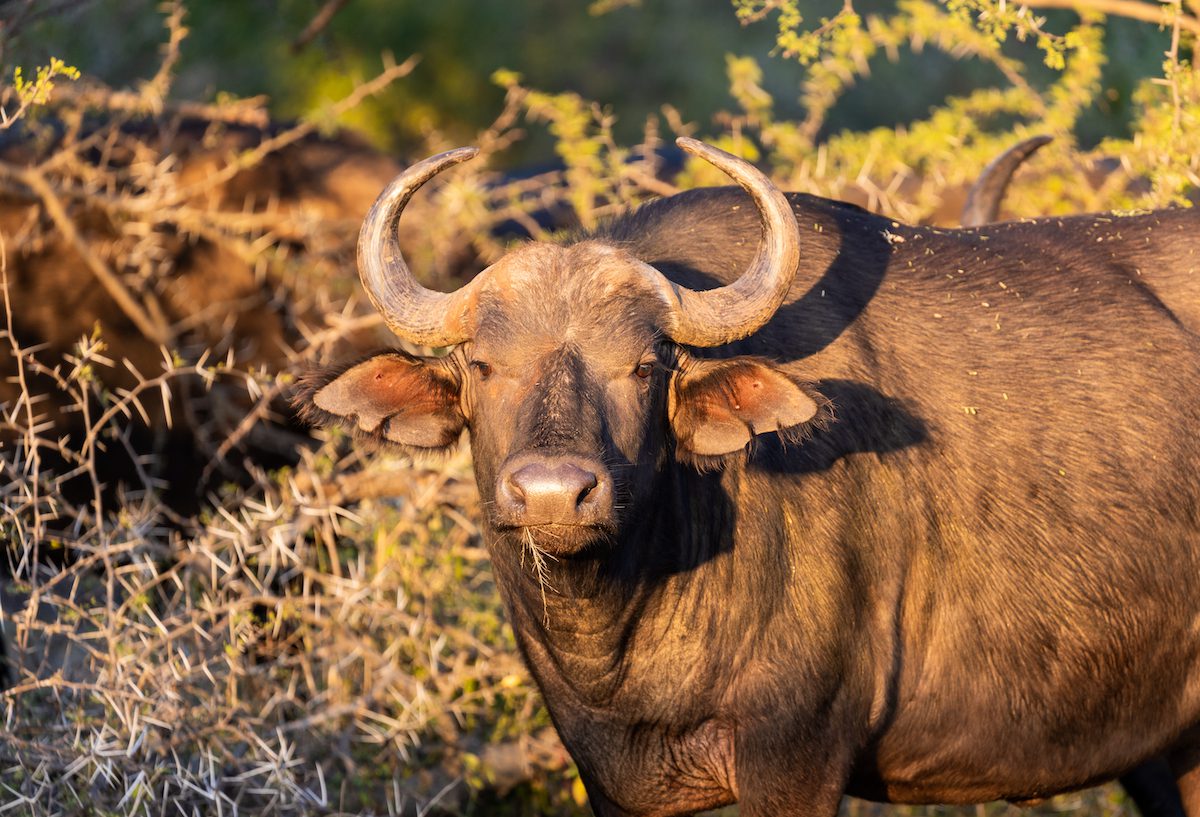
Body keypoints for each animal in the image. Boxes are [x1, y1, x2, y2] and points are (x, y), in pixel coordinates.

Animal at [297, 138, 1200, 817]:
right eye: (482, 365)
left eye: (644, 365)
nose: (555, 493)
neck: (630, 626)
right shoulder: (611, 778)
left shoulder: (796, 755)